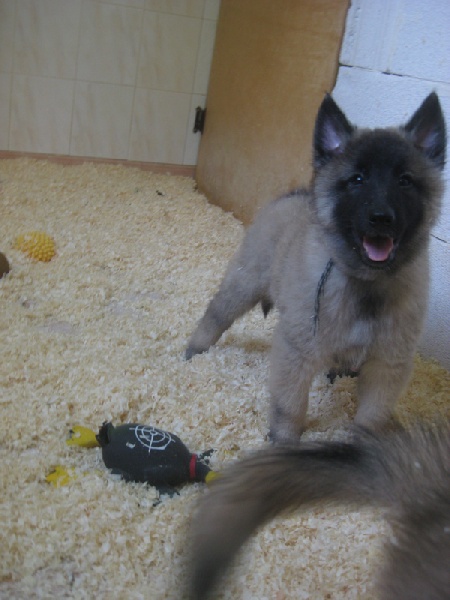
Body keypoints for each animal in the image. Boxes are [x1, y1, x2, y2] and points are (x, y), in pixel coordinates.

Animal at [186, 92, 446, 444]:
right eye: (357, 180)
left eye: (405, 181)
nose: (381, 217)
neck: (364, 282)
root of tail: (295, 193)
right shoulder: (297, 353)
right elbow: (290, 407)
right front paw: (283, 444)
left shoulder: (388, 364)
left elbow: (371, 417)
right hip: (245, 282)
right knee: (216, 313)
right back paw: (196, 348)